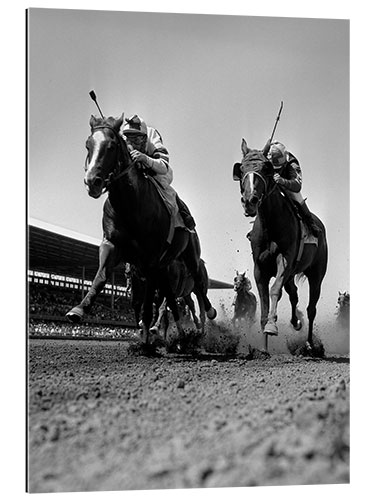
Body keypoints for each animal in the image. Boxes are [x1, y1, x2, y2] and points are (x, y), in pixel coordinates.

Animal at [66, 115, 216, 346]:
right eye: (87, 145)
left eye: (111, 146)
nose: (92, 182)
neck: (130, 205)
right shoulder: (113, 244)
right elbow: (101, 276)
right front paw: (79, 309)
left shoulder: (151, 259)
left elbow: (151, 303)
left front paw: (147, 333)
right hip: (164, 268)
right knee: (172, 299)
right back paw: (179, 333)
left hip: (190, 256)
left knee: (198, 286)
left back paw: (206, 316)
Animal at [234, 139, 328, 354]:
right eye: (241, 168)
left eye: (265, 168)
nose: (249, 201)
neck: (271, 224)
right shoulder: (259, 268)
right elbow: (264, 302)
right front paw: (263, 348)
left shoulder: (283, 261)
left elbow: (275, 290)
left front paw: (271, 326)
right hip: (293, 274)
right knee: (293, 294)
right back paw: (296, 321)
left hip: (316, 274)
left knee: (311, 308)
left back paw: (309, 343)